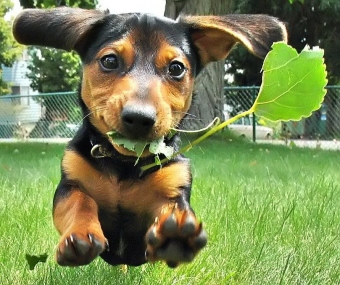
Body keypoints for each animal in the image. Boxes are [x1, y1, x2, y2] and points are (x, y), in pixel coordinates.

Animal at [11, 7, 286, 268]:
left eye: (176, 68)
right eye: (109, 60)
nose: (139, 117)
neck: (125, 163)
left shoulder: (173, 188)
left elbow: (171, 211)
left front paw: (175, 236)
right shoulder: (70, 183)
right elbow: (80, 202)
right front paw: (80, 235)